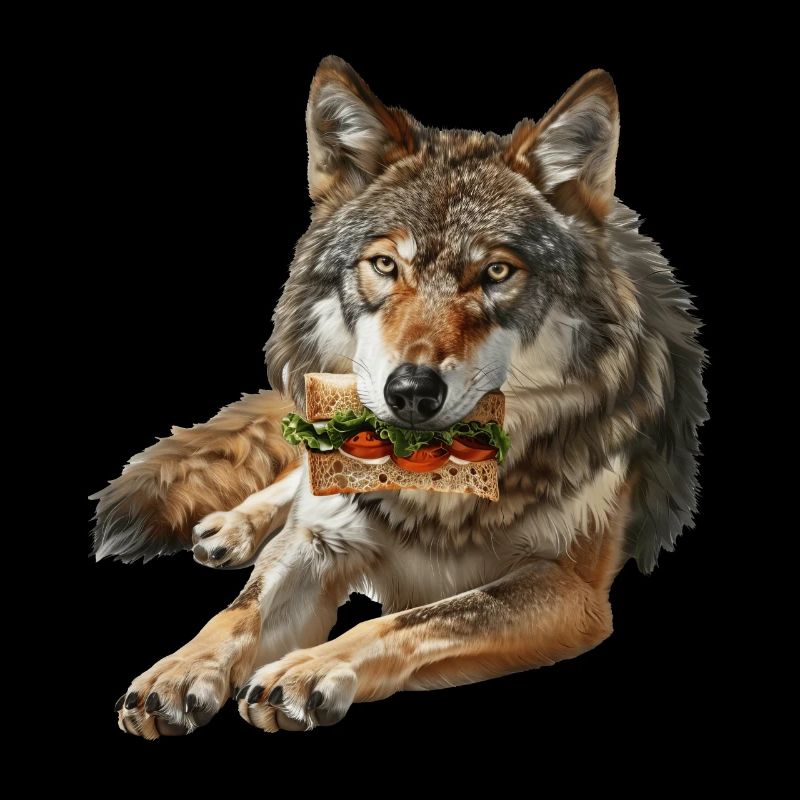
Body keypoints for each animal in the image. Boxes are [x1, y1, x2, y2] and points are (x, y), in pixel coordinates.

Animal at [92, 56, 707, 737]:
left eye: (496, 272)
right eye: (385, 265)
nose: (411, 390)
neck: (433, 493)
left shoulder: (568, 588)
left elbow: (405, 618)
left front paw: (306, 668)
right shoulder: (320, 540)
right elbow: (239, 611)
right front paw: (179, 669)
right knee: (289, 482)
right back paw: (232, 527)